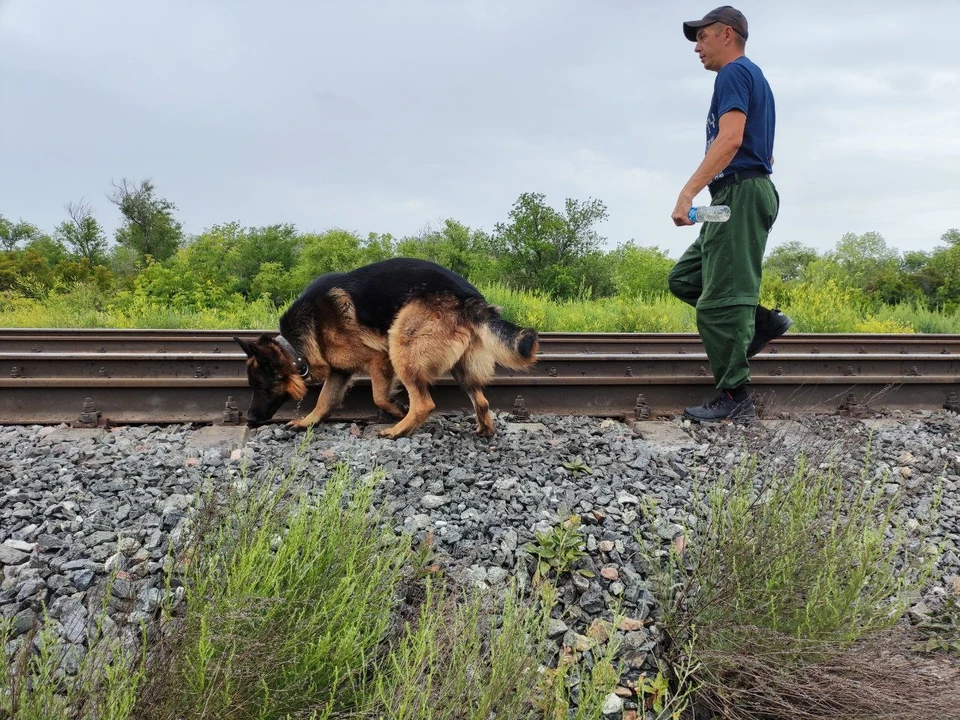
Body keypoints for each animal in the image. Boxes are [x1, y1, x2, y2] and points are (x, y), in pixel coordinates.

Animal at [230, 258, 536, 438]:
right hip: (460, 367)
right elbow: (324, 400)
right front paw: (307, 422)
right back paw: (484, 430)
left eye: (262, 387)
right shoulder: (340, 370)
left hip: (400, 344)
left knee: (424, 403)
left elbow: (378, 397)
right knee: (481, 401)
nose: (251, 420)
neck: (297, 344)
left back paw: (398, 430)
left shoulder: (378, 359)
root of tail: (471, 298)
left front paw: (397, 409)